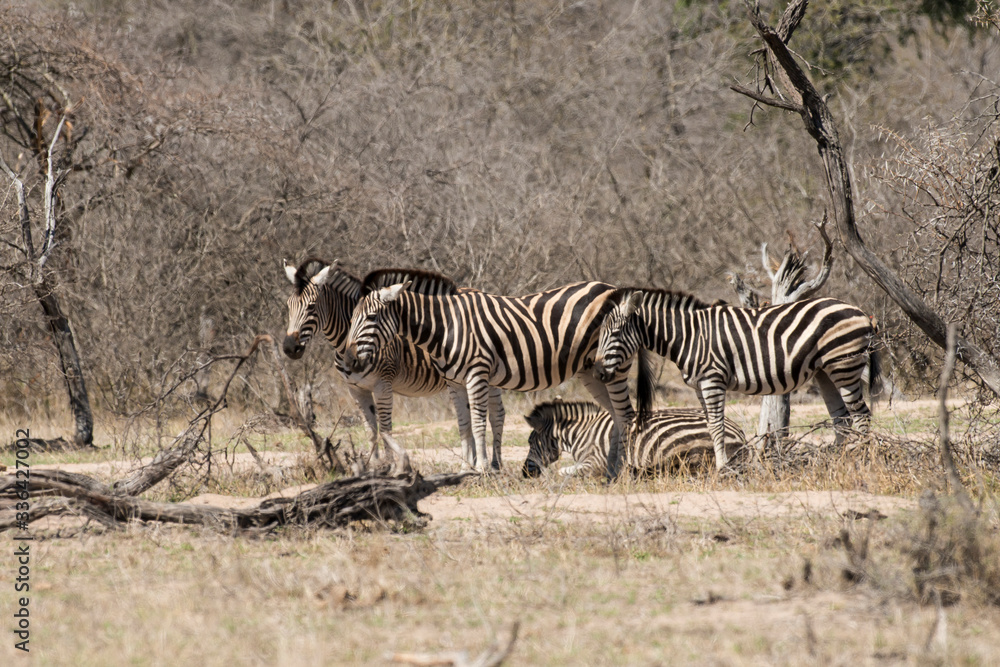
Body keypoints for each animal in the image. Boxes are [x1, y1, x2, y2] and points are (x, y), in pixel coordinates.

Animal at [282, 258, 504, 471]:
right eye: (288, 306)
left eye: (311, 306)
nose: (289, 348)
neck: (346, 342)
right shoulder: (356, 389)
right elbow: (371, 430)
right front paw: (373, 465)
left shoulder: (383, 384)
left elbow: (386, 429)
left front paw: (390, 465)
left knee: (497, 414)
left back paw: (495, 464)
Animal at [342, 271, 652, 475]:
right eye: (352, 318)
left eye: (370, 318)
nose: (348, 359)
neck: (447, 326)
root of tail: (613, 288)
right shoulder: (454, 383)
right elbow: (464, 424)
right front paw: (467, 466)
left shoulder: (477, 374)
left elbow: (480, 422)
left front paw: (481, 468)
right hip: (593, 371)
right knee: (614, 415)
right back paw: (611, 469)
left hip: (615, 364)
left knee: (626, 415)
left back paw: (623, 470)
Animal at [522, 401, 747, 478]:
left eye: (531, 442)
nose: (525, 473)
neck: (582, 433)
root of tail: (739, 432)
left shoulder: (595, 461)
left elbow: (561, 471)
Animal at [592, 289, 881, 469]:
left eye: (615, 333)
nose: (598, 373)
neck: (689, 336)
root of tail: (861, 312)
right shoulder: (699, 385)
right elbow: (710, 425)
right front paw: (719, 463)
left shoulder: (712, 379)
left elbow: (717, 424)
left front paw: (722, 467)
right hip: (825, 371)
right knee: (842, 418)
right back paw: (836, 463)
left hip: (844, 365)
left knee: (861, 415)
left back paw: (865, 461)